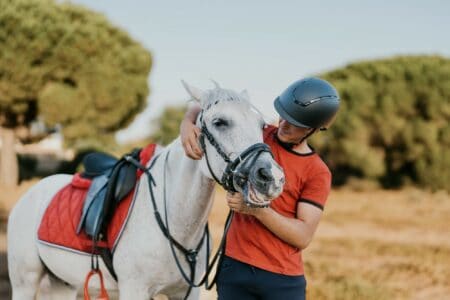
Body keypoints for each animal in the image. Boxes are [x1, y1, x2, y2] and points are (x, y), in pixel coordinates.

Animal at [7, 81, 284, 298]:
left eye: (261, 124)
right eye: (220, 122)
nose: (272, 177)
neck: (173, 219)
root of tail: (30, 194)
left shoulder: (186, 292)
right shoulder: (135, 290)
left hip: (61, 284)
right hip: (25, 283)